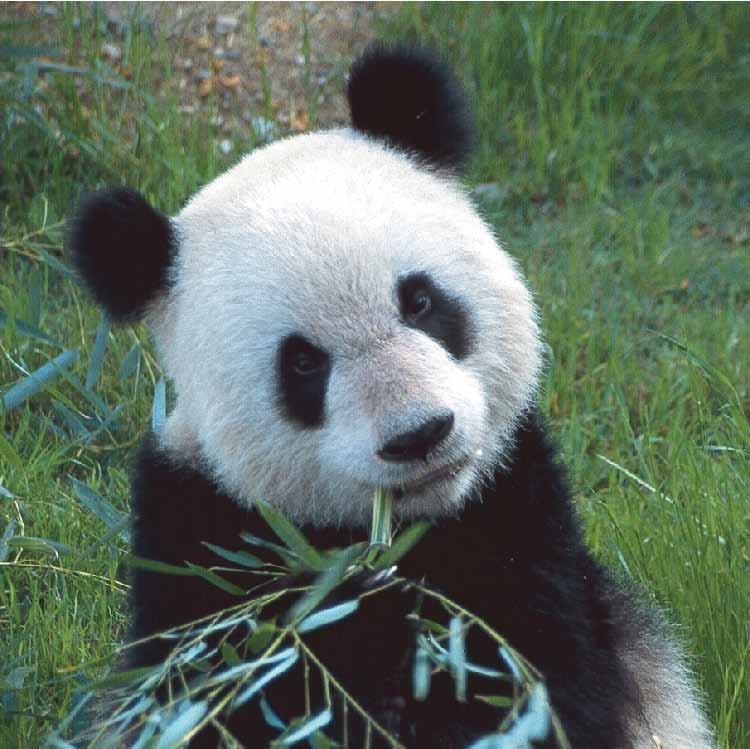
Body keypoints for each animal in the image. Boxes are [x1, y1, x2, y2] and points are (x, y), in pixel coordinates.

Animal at [69, 45, 715, 749]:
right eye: (303, 363)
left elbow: (544, 683)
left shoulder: (522, 524)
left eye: (421, 301)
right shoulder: (204, 547)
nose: (419, 434)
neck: (384, 546)